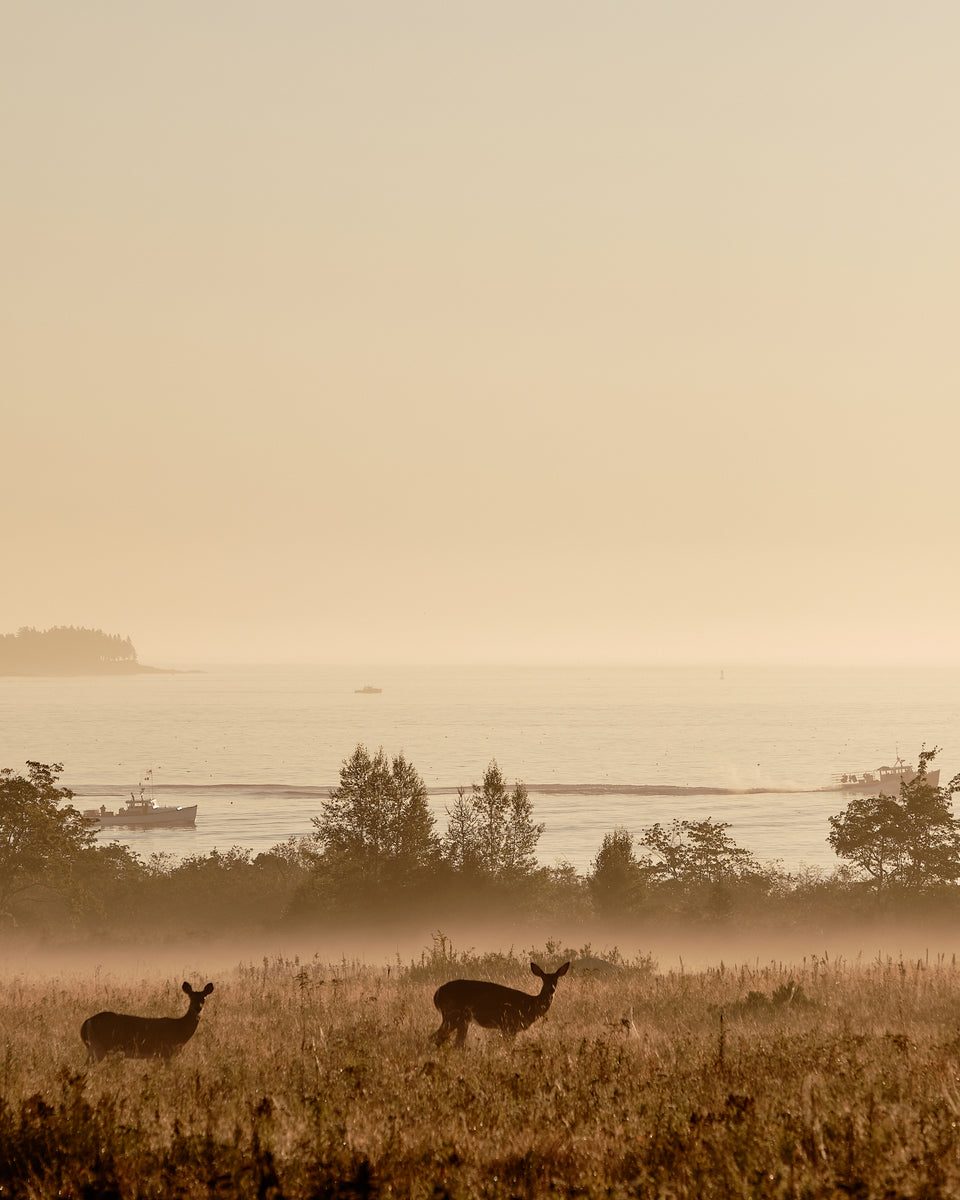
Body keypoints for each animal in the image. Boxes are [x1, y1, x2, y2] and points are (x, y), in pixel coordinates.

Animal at [80, 979, 213, 1065]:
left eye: (204, 998)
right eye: (191, 997)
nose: (198, 1008)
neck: (179, 1029)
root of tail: (86, 1023)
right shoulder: (165, 1053)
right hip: (99, 1047)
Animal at [429, 960, 571, 1046]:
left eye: (556, 979)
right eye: (543, 979)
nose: (551, 989)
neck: (529, 1005)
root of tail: (437, 994)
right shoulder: (509, 1025)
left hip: (462, 1020)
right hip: (453, 1015)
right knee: (435, 1037)